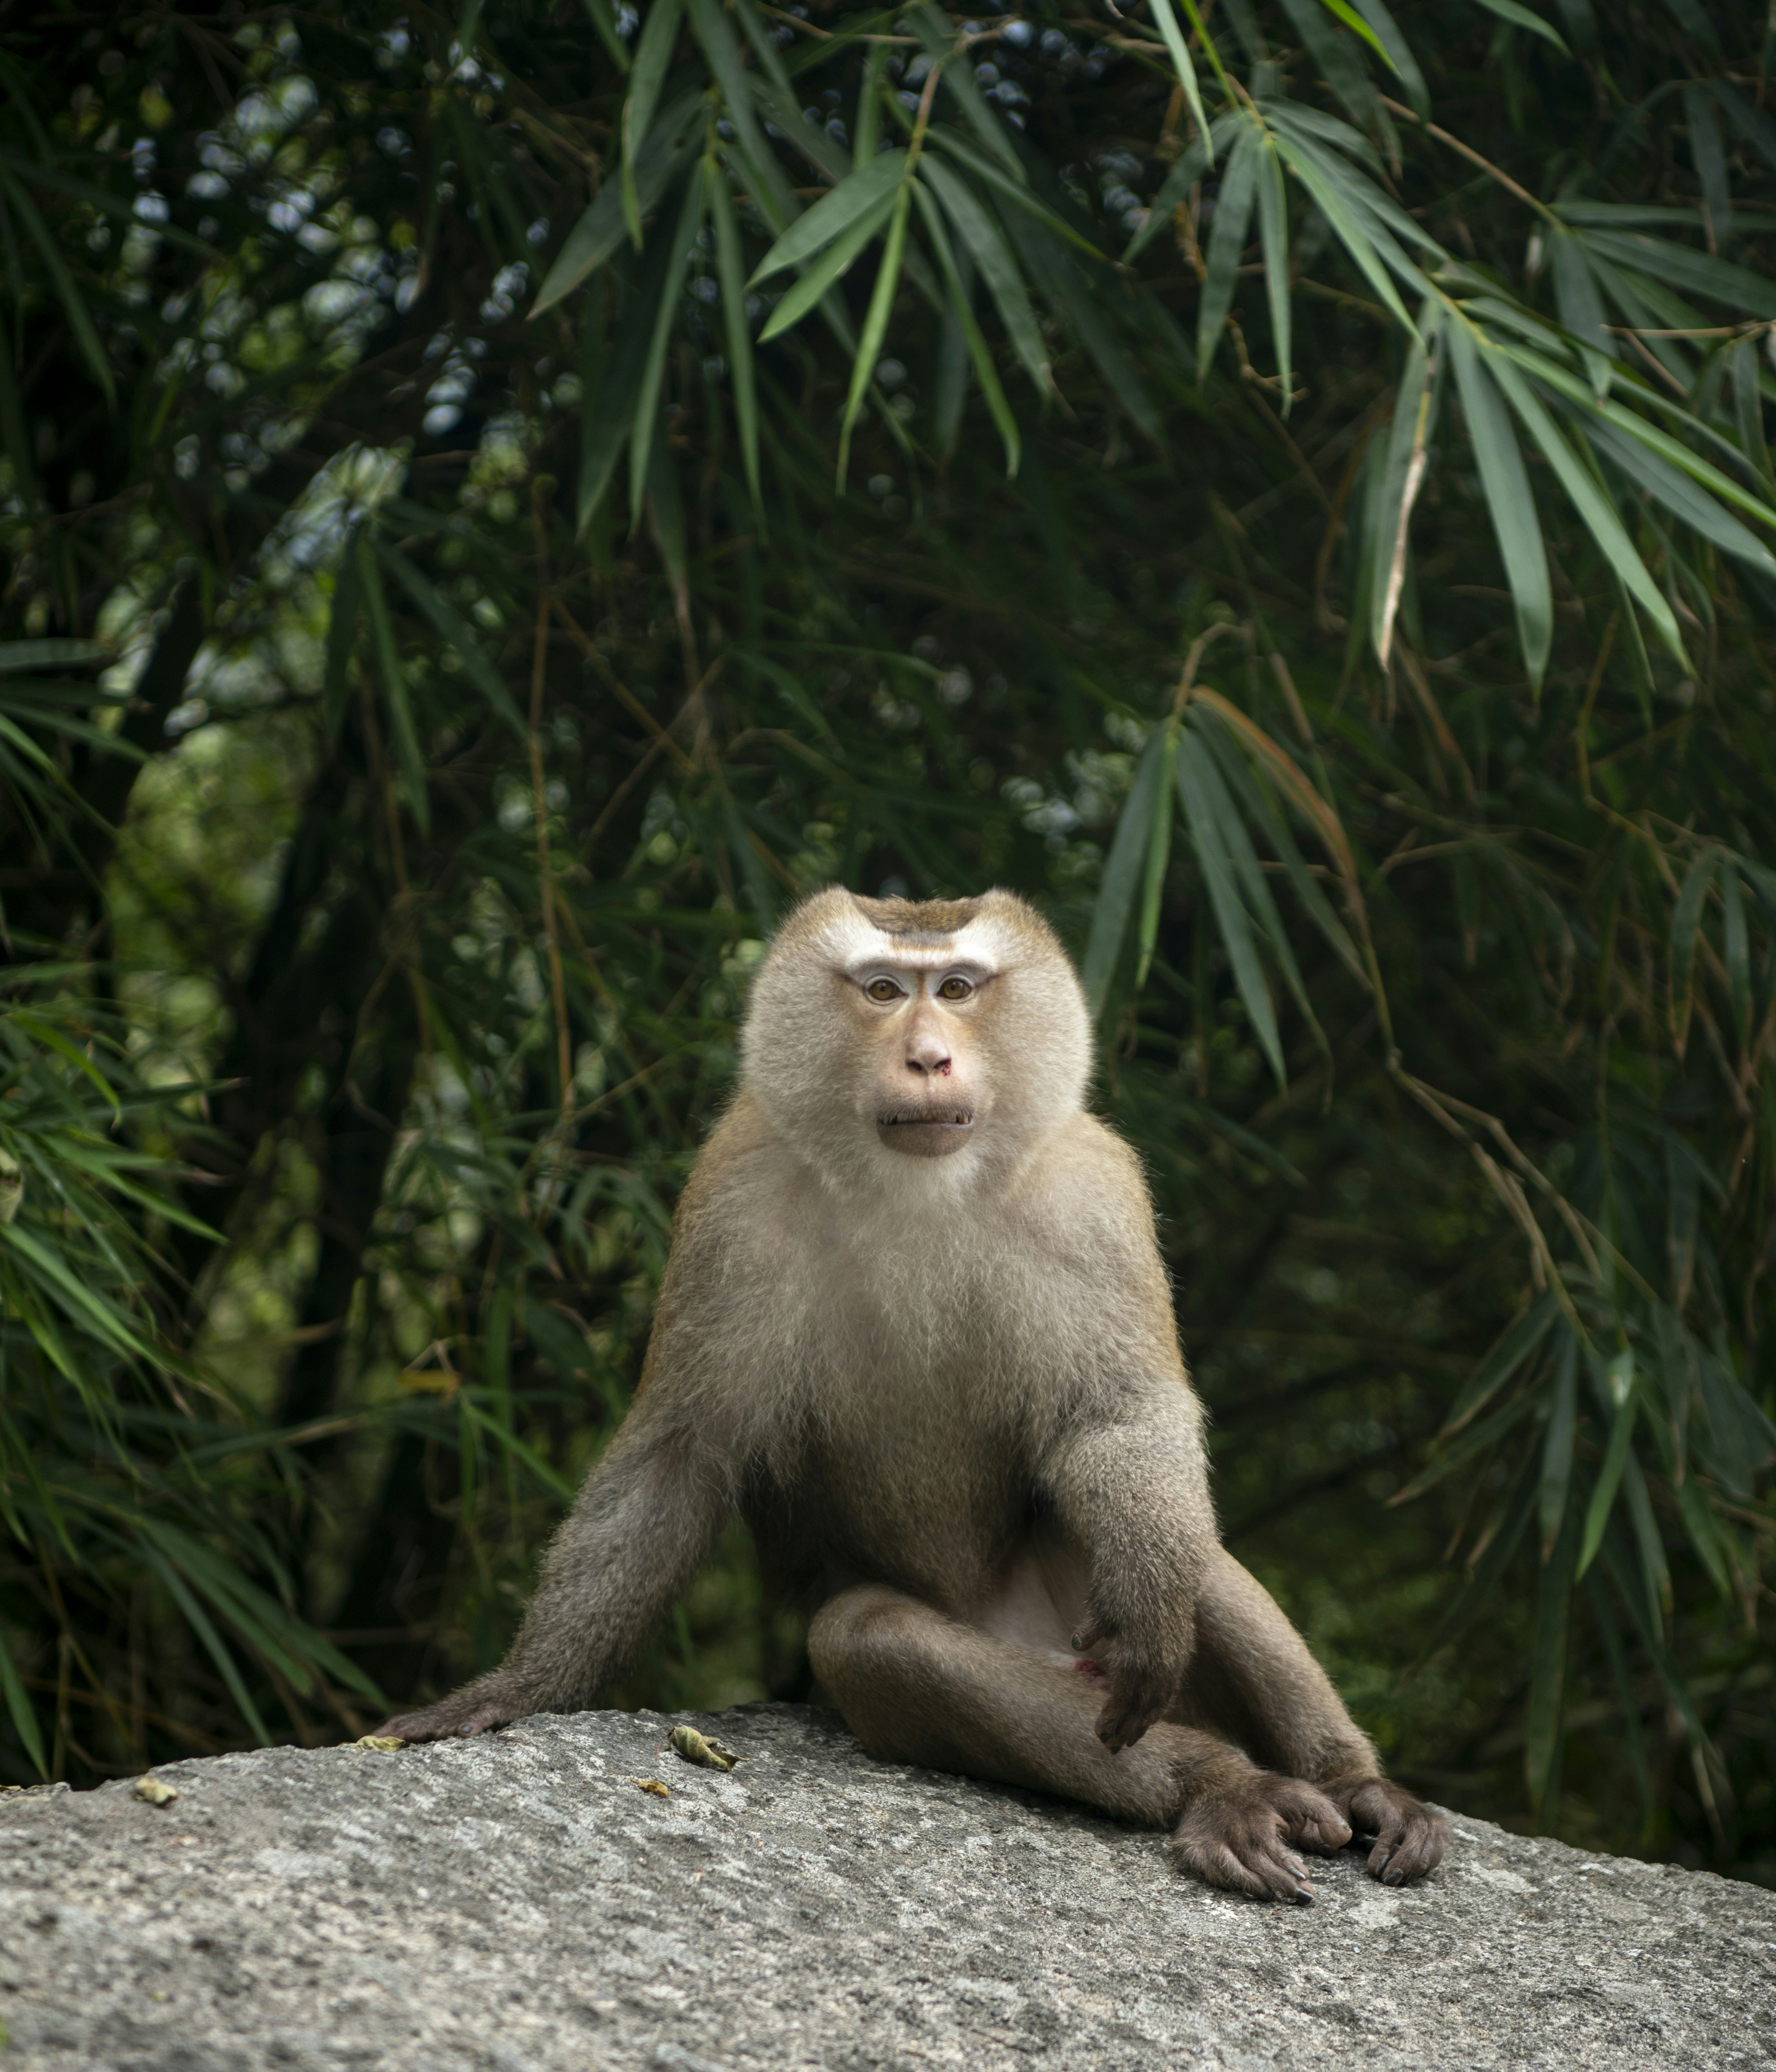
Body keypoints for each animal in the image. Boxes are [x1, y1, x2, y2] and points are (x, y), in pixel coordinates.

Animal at [383, 888, 1446, 1901]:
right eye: (886, 990)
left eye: (961, 989)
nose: (930, 1057)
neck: (917, 1186)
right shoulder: (732, 1198)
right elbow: (680, 1454)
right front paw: (518, 1688)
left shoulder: (1092, 1194)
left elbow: (1120, 1417)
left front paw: (1153, 1605)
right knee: (870, 1636)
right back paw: (1222, 1785)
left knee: (1188, 1554)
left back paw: (1345, 1781)